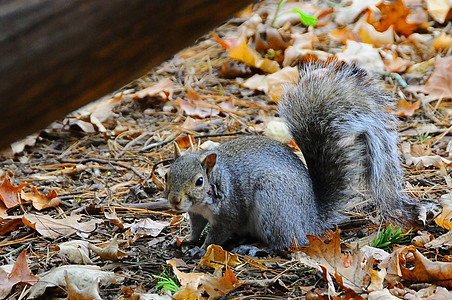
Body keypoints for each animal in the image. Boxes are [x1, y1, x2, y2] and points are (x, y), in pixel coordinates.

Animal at [164, 60, 418, 248]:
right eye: (167, 175)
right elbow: (196, 227)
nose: (175, 201)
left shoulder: (230, 211)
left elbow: (217, 234)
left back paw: (255, 248)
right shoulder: (195, 214)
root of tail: (309, 219)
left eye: (199, 181)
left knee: (285, 241)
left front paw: (203, 249)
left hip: (273, 205)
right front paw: (188, 241)